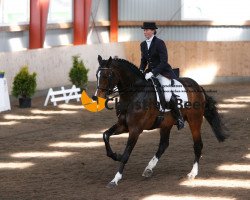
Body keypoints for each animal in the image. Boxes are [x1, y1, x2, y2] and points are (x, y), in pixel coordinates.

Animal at [94, 55, 227, 188]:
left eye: (108, 75)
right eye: (97, 75)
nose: (97, 97)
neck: (133, 95)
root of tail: (198, 86)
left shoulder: (135, 130)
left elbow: (127, 153)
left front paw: (115, 179)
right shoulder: (123, 126)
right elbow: (105, 135)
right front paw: (116, 156)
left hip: (195, 120)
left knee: (198, 145)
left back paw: (192, 173)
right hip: (166, 124)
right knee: (163, 144)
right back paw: (149, 168)